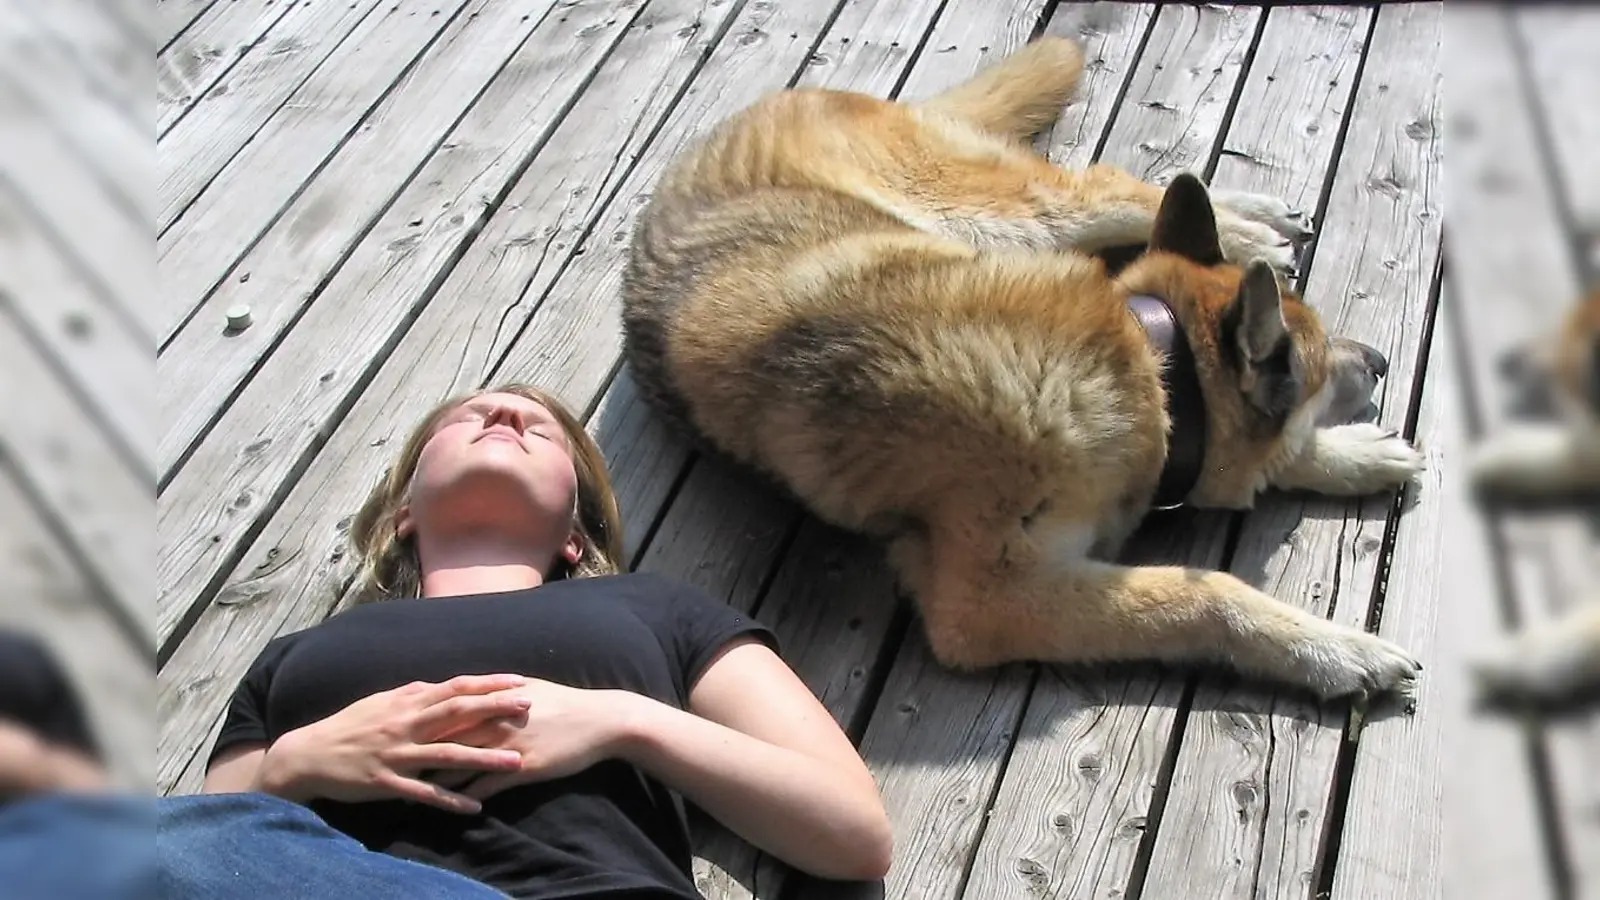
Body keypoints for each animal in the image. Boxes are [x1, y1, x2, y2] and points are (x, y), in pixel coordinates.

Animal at [620, 36, 1427, 695]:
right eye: (1314, 365)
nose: (1382, 359)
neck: (1149, 370)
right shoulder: (991, 604)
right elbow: (1204, 592)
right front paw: (1336, 649)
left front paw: (1358, 455)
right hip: (997, 216)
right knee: (1102, 186)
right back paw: (1252, 226)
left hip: (1000, 224)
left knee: (1119, 189)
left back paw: (1252, 221)